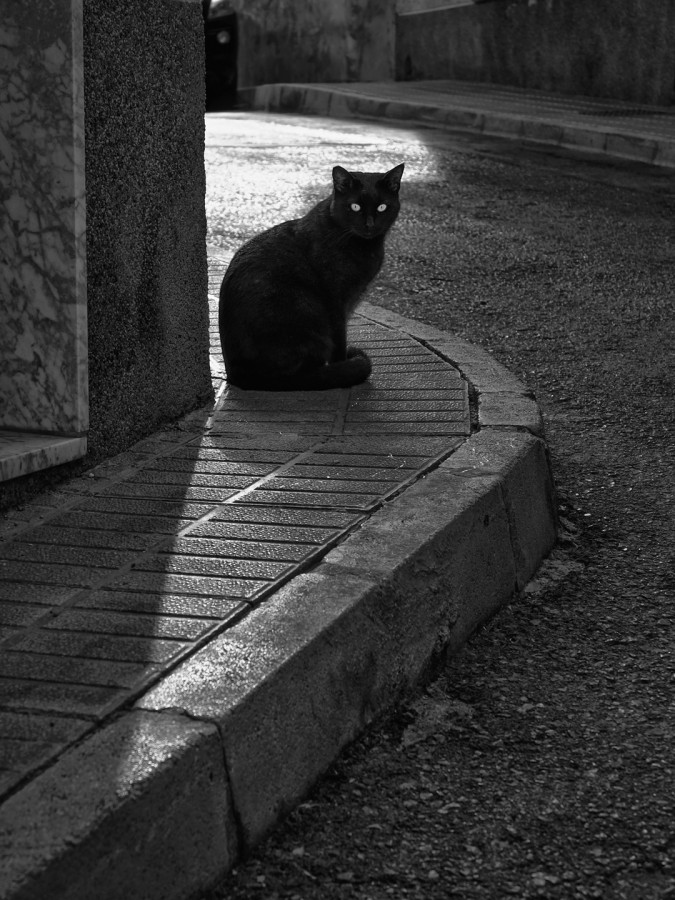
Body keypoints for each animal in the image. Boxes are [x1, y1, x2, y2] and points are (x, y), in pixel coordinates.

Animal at [219, 165, 404, 390]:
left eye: (382, 207)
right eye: (355, 207)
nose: (369, 225)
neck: (364, 247)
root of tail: (238, 376)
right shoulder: (336, 303)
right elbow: (339, 340)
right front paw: (343, 364)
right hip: (305, 309)